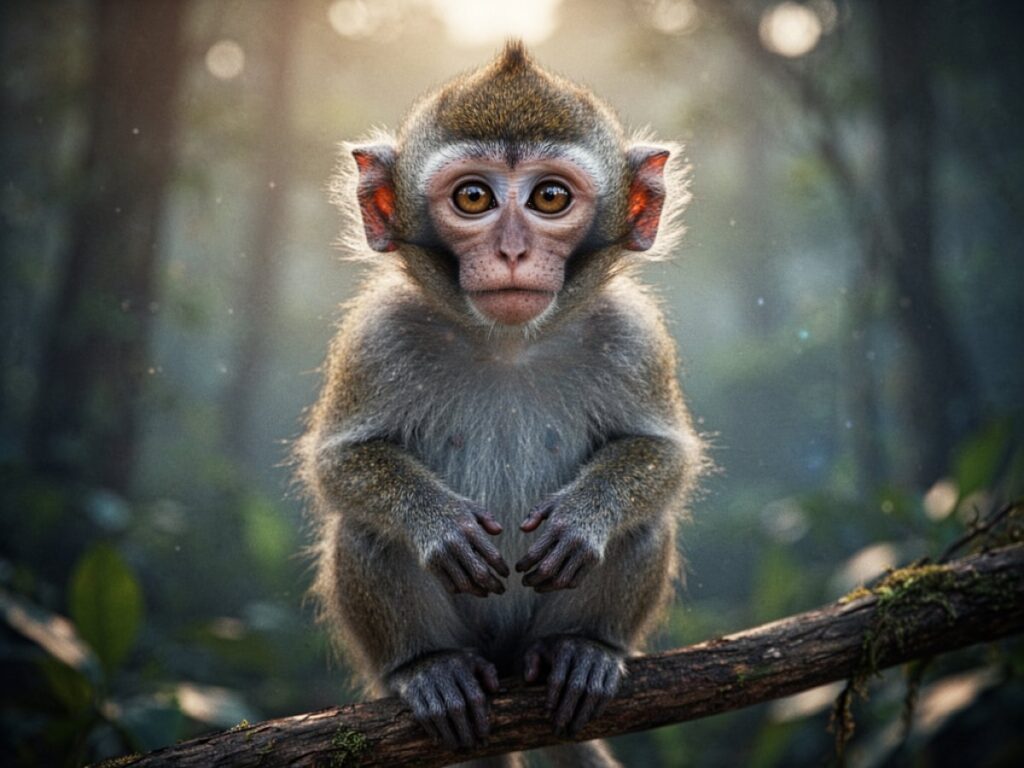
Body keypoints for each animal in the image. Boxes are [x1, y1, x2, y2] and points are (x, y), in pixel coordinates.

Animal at [298, 42, 705, 767]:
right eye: (473, 198)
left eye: (549, 197)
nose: (512, 251)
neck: (510, 342)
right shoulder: (379, 335)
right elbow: (339, 462)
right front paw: (438, 523)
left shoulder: (632, 335)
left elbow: (664, 452)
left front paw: (583, 517)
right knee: (365, 531)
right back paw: (430, 668)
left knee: (645, 524)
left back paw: (582, 650)